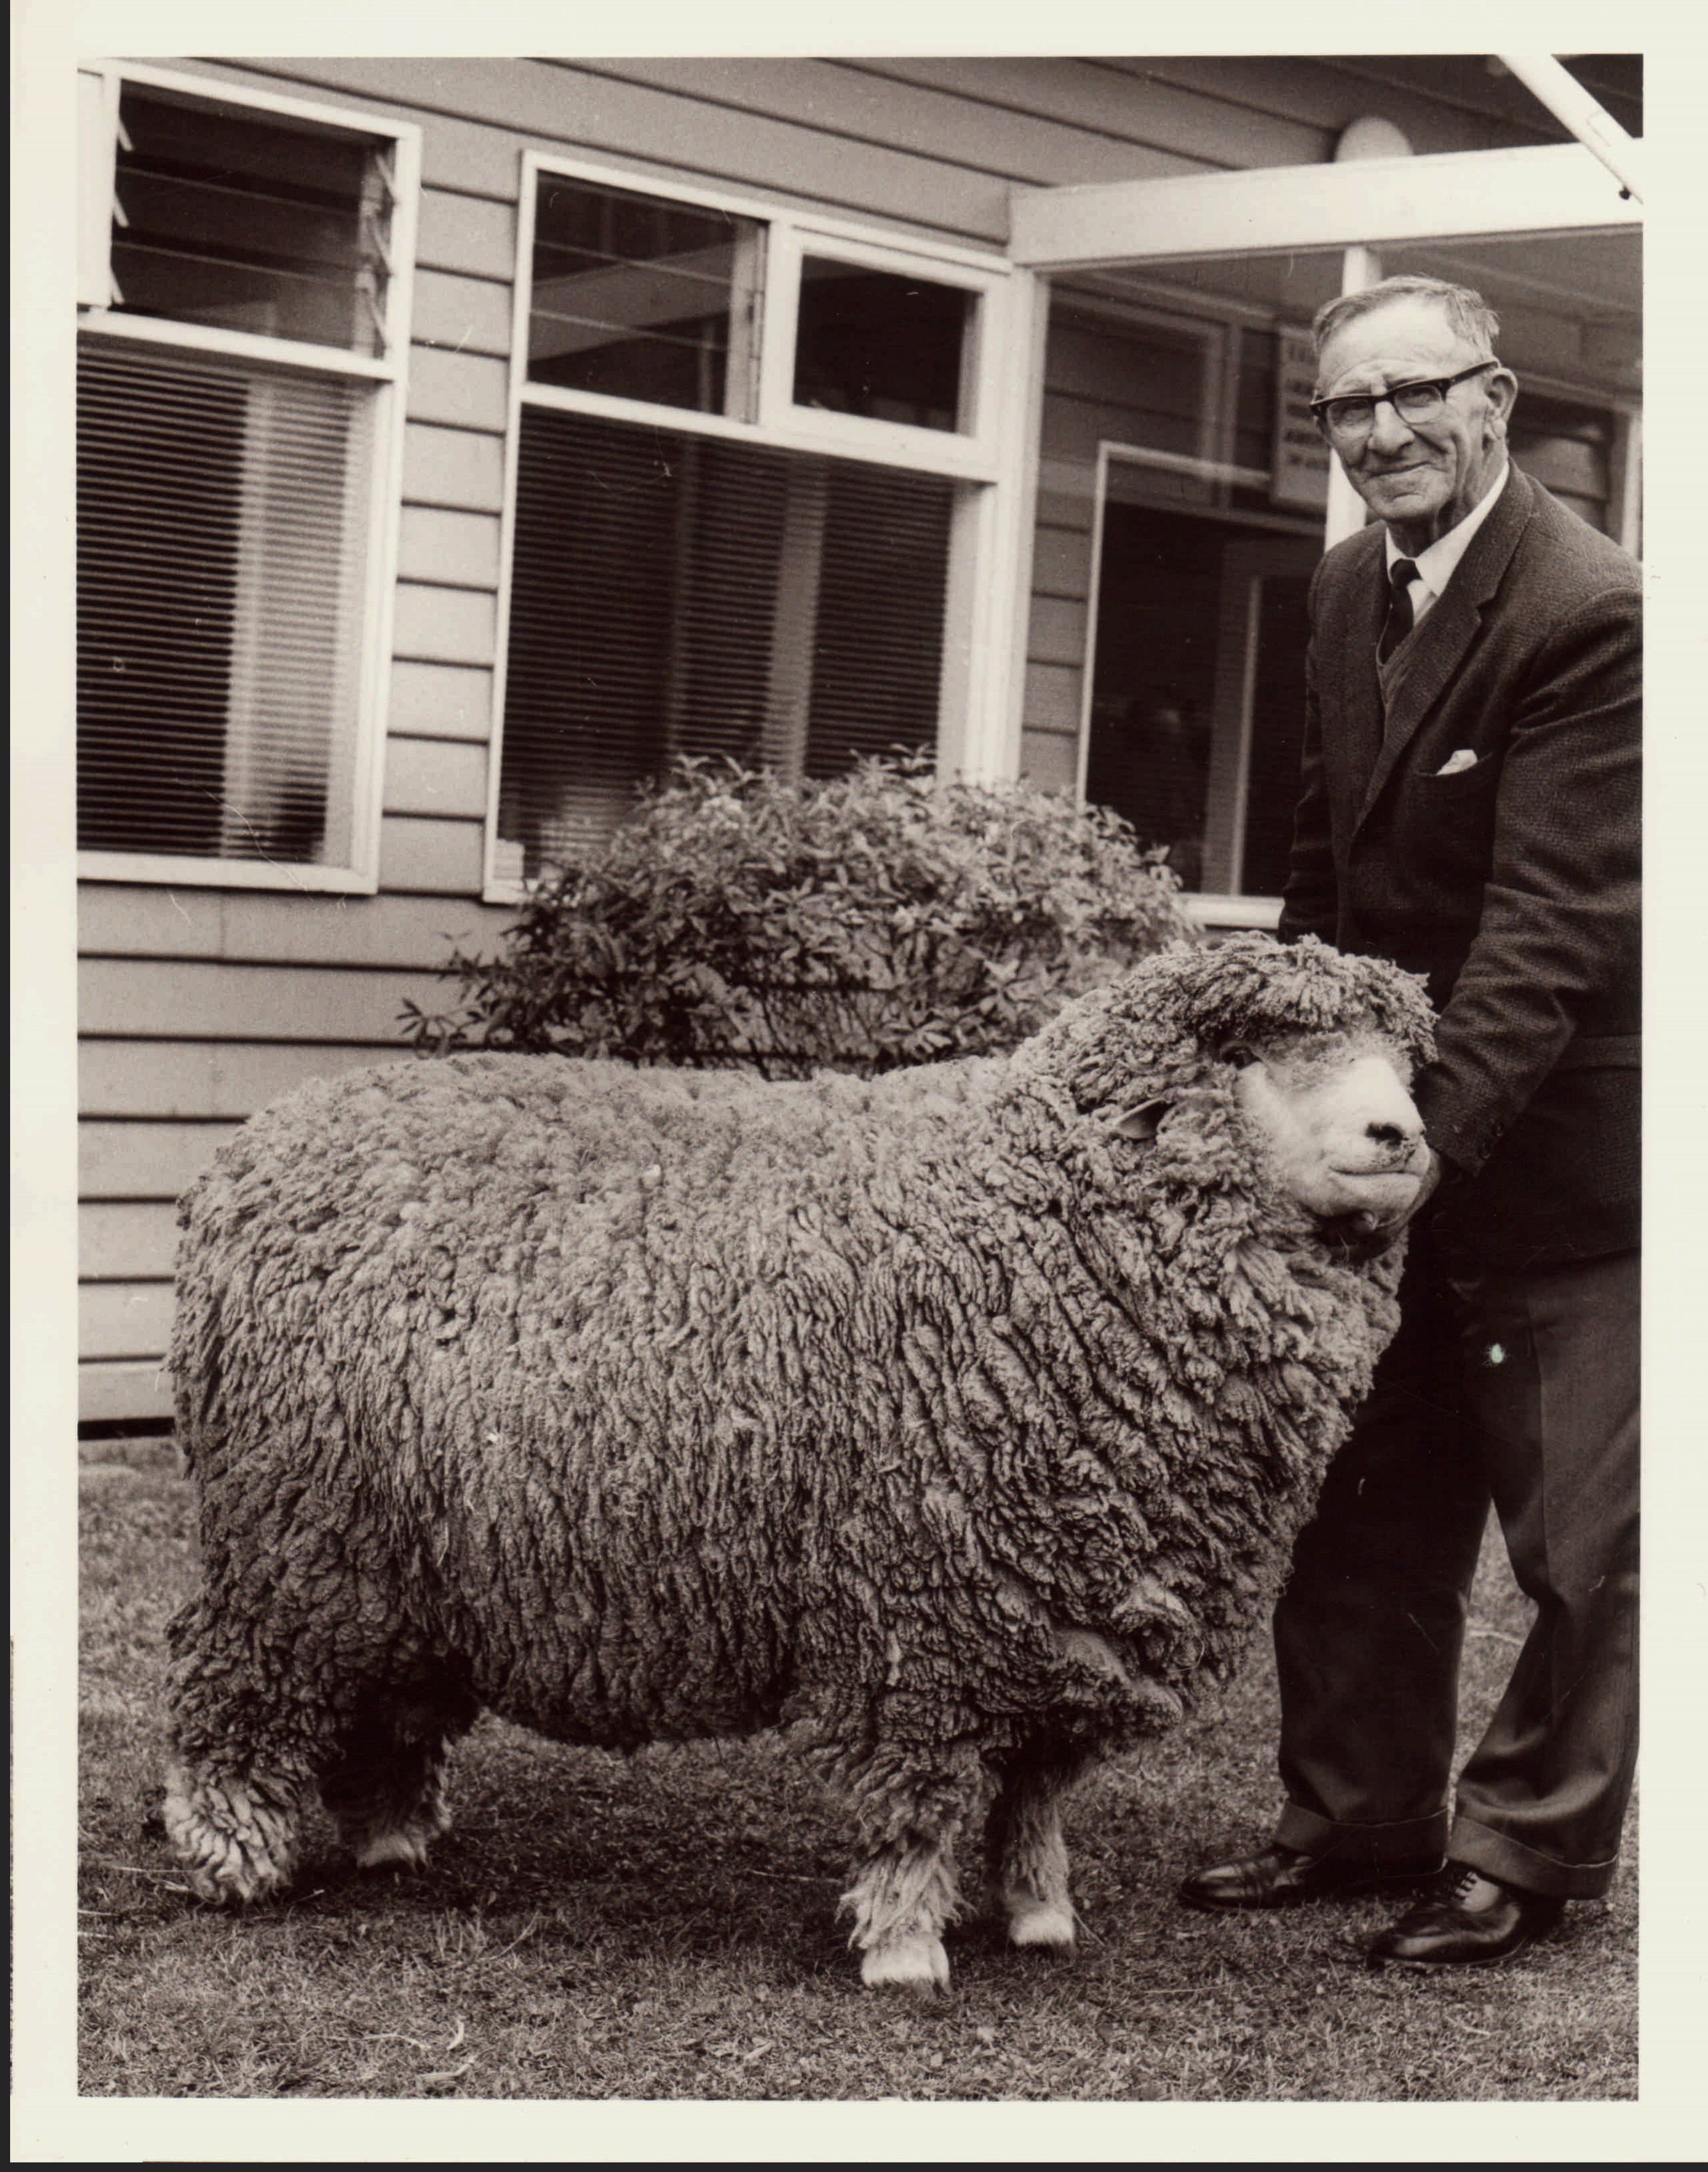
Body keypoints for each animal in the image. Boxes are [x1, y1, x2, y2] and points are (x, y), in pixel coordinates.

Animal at [162, 932, 1436, 1990]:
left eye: (1398, 1056)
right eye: (1254, 1051)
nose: (1400, 1136)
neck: (1042, 1210)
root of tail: (257, 1145)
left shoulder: (1065, 1615)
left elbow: (1033, 1789)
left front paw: (1037, 1910)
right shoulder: (919, 1612)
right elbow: (920, 1795)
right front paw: (907, 1943)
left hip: (395, 1560)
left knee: (378, 1700)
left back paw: (387, 1839)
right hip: (287, 1535)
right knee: (225, 1683)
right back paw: (231, 1852)